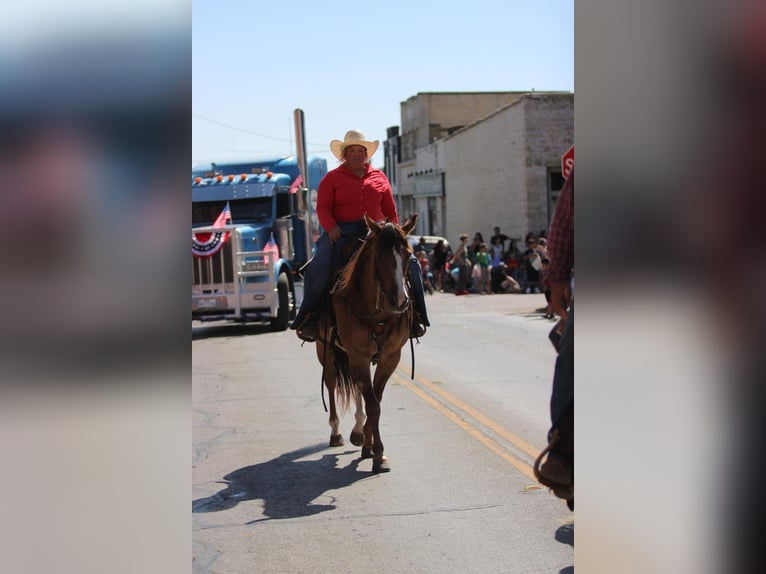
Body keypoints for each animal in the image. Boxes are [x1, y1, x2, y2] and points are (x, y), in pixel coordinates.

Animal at [314, 214, 416, 474]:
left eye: (408, 254)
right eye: (379, 256)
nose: (400, 301)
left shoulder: (390, 357)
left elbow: (375, 400)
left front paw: (368, 443)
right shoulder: (357, 355)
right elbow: (373, 405)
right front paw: (379, 454)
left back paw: (359, 432)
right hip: (325, 349)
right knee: (331, 382)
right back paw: (336, 432)